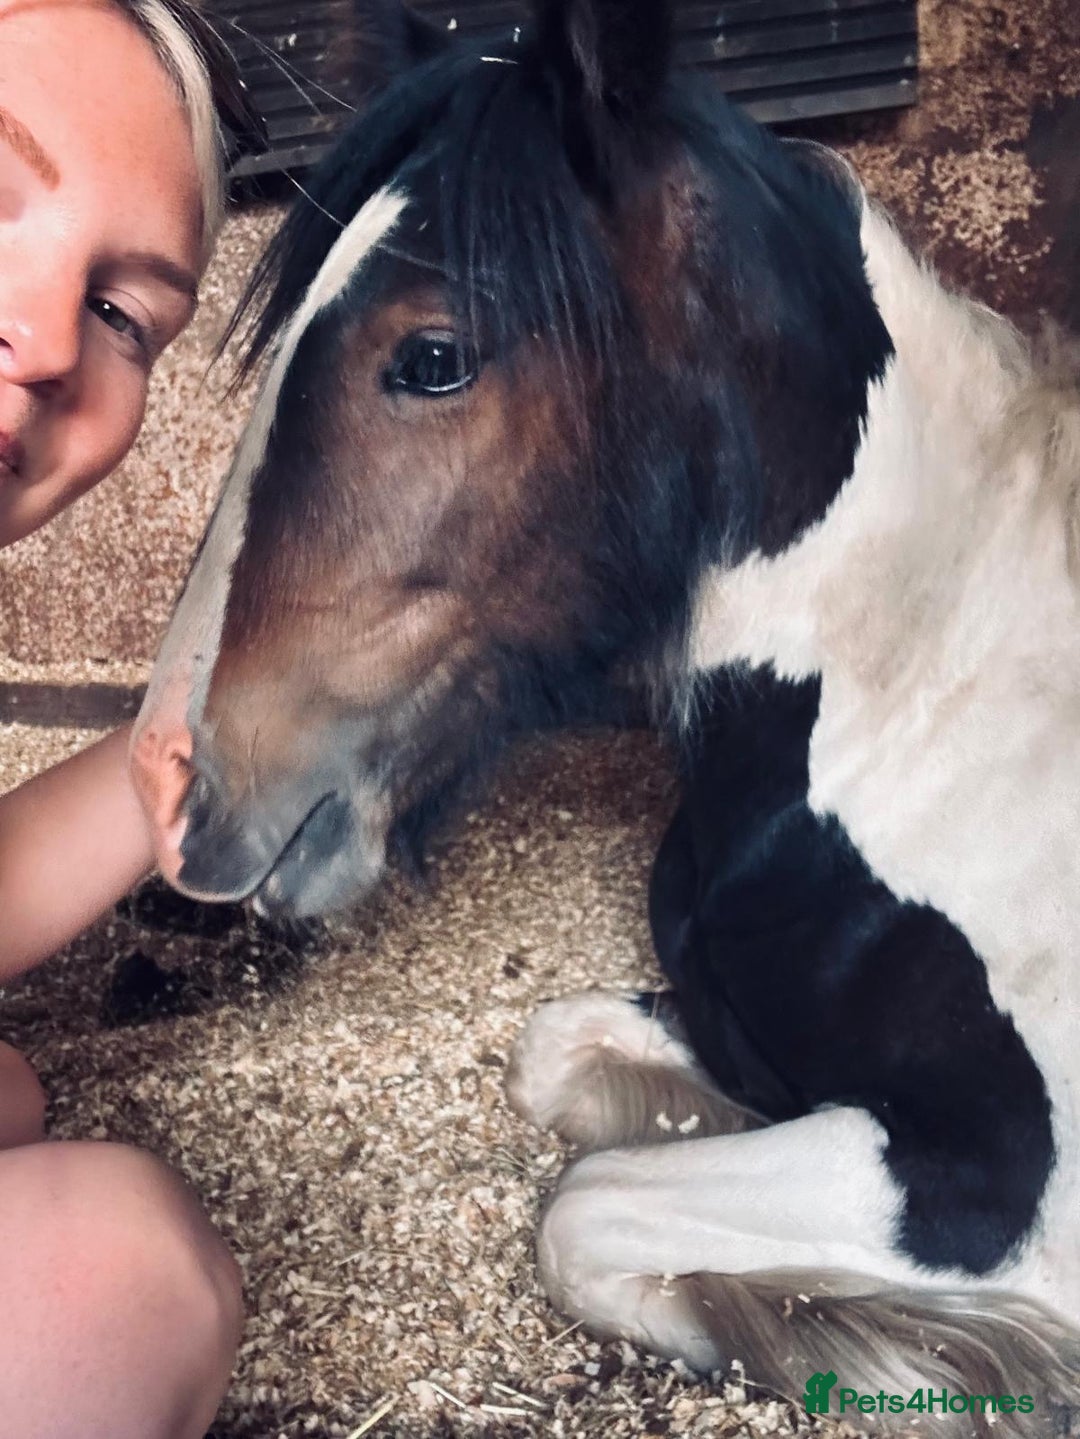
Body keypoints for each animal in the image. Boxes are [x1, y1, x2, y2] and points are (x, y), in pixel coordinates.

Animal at [130, 0, 1080, 1428]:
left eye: (433, 357)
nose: (171, 779)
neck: (923, 711)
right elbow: (559, 1066)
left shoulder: (1001, 1187)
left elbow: (585, 1208)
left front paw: (903, 1347)